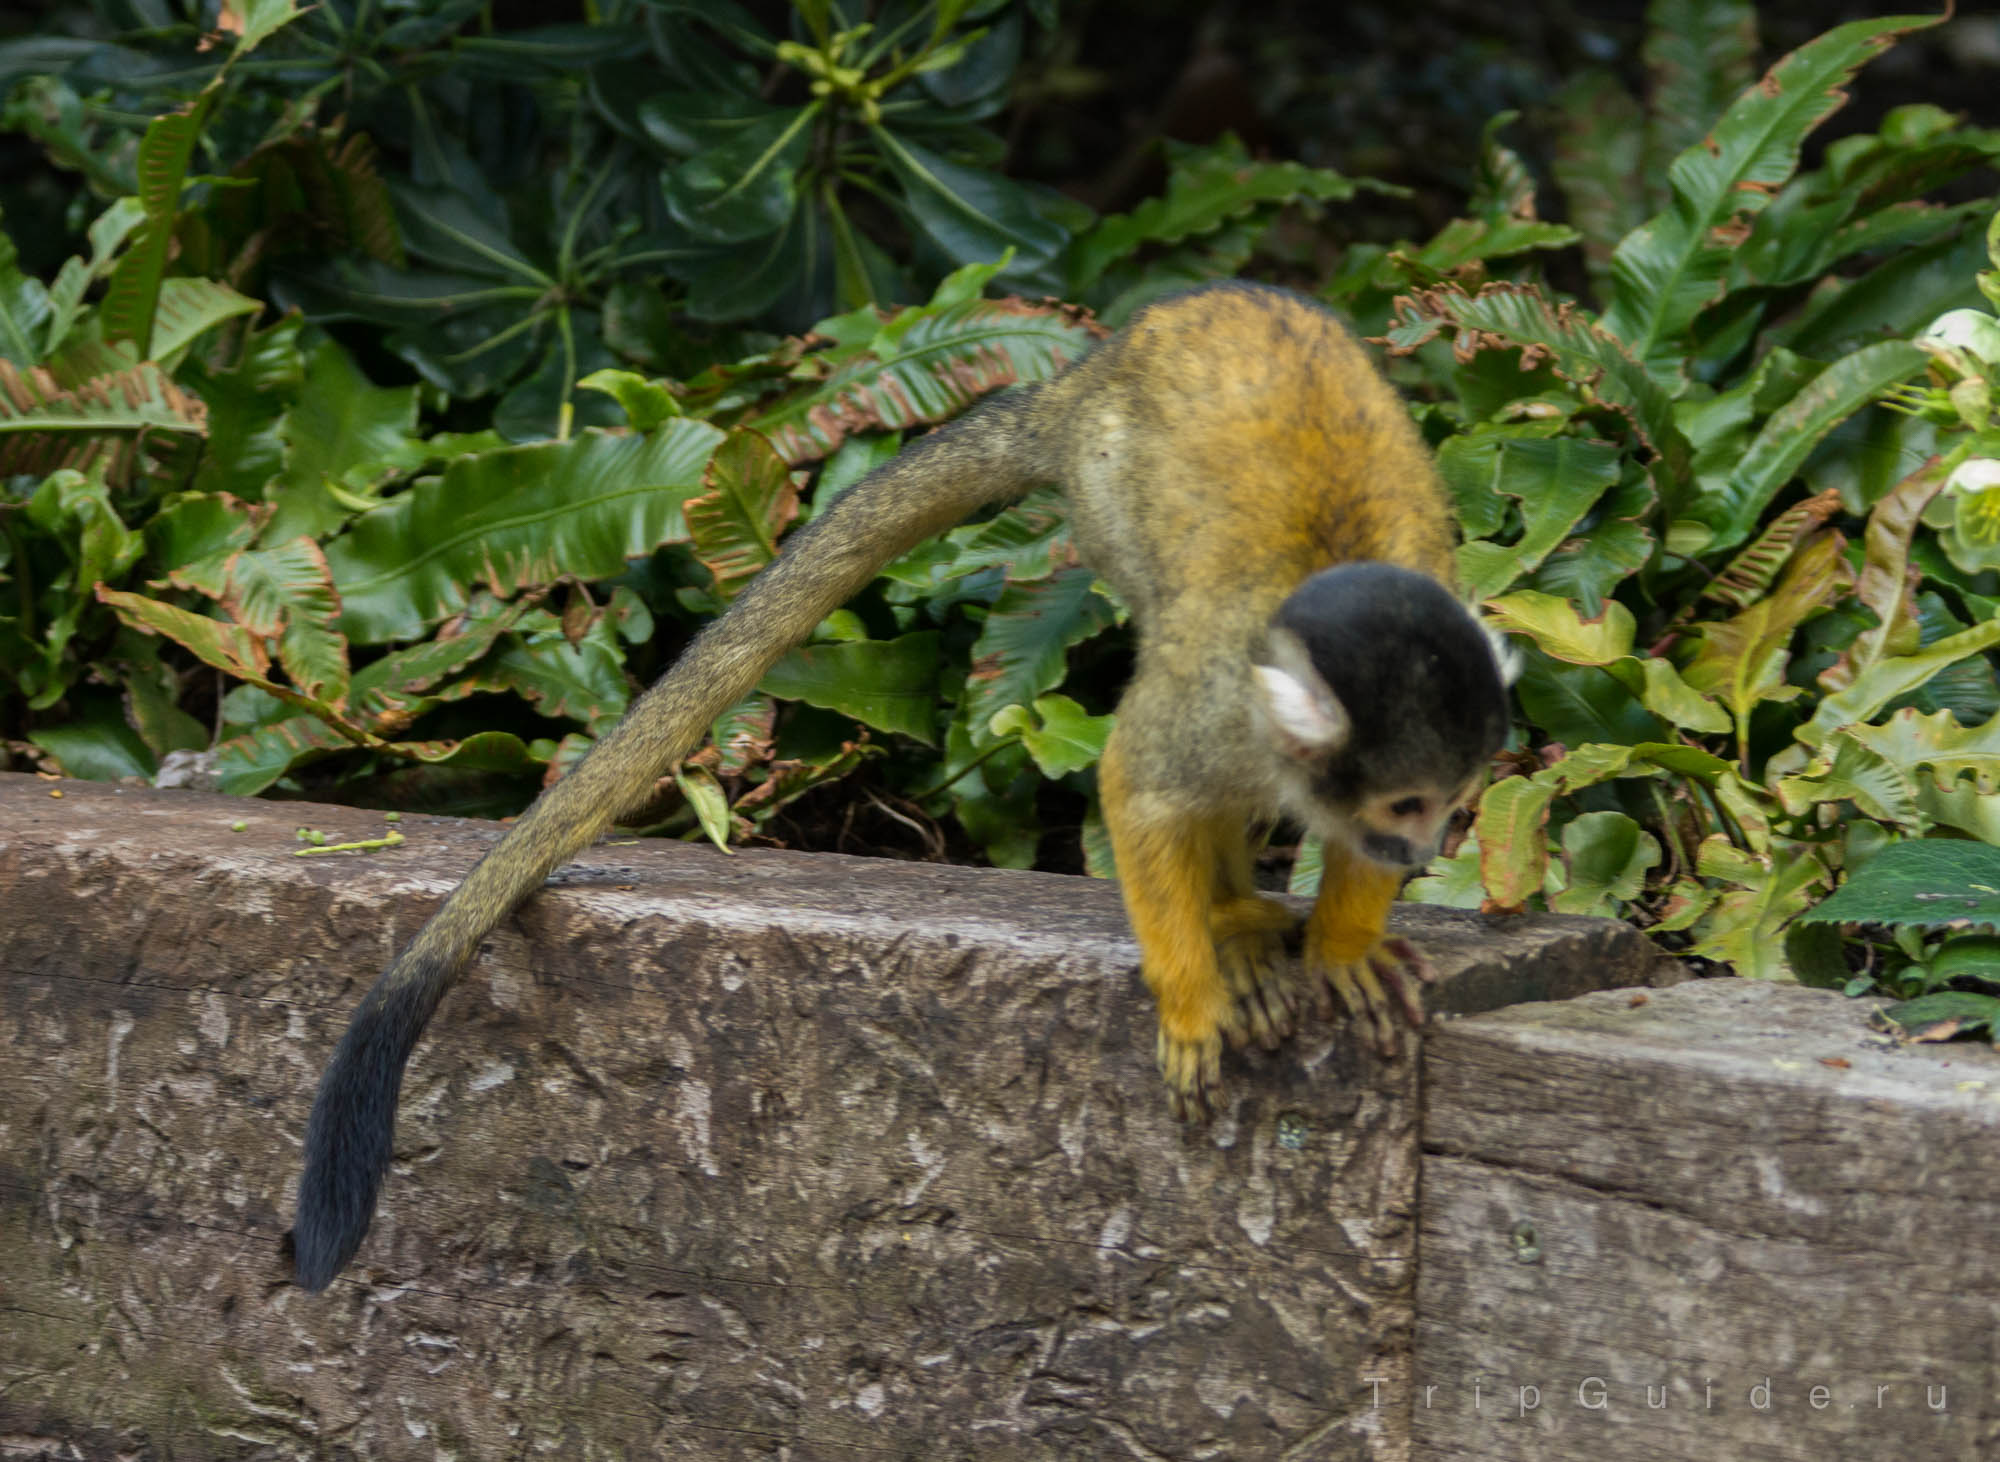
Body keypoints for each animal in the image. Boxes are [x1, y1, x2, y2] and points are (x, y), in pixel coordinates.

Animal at [290, 281, 1517, 1292]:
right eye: (1409, 807)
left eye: (1454, 804)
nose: (1419, 853)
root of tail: (1093, 368)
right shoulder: (1214, 700)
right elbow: (1136, 786)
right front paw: (1195, 989)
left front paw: (1343, 945)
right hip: (1108, 492)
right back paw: (1227, 926)